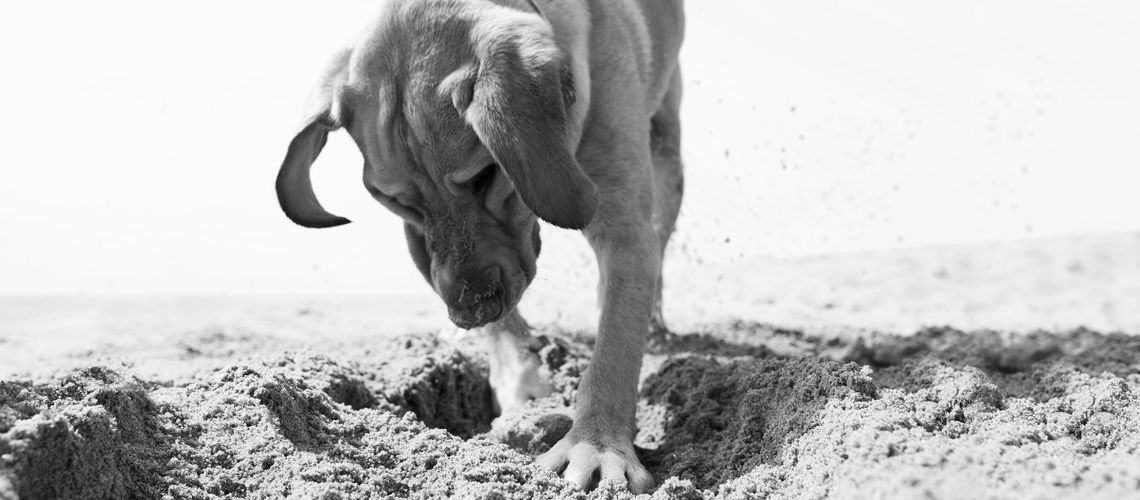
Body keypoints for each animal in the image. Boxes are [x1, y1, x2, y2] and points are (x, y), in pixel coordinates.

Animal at [275, 0, 684, 494]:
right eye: (393, 199)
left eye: (487, 174)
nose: (470, 313)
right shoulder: (432, 253)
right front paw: (518, 375)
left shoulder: (625, 230)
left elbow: (614, 351)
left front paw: (596, 445)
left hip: (667, 149)